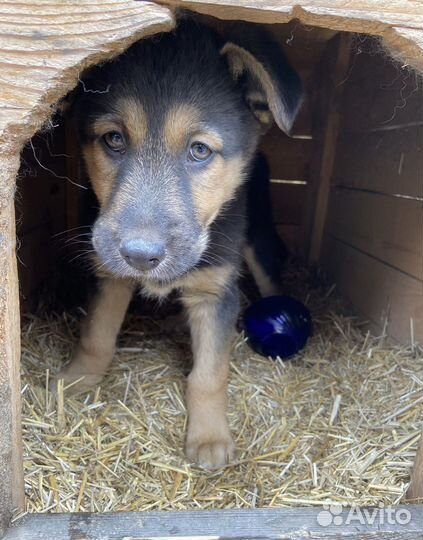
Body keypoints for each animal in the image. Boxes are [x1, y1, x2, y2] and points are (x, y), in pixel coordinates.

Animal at [56, 17, 304, 468]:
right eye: (113, 140)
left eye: (200, 150)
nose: (139, 256)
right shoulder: (107, 273)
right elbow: (95, 336)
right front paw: (77, 379)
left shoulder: (216, 289)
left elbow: (209, 373)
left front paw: (208, 437)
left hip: (257, 235)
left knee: (271, 277)